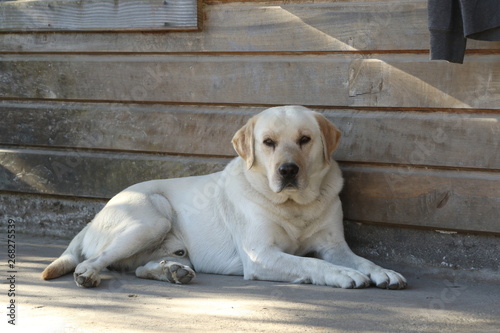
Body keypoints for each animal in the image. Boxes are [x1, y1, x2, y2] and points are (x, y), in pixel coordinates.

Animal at [42, 105, 406, 288]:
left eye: (305, 139)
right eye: (268, 142)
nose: (288, 170)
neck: (294, 207)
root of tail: (91, 221)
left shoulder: (334, 246)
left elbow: (360, 259)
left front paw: (382, 271)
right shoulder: (261, 255)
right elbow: (310, 263)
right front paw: (342, 275)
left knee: (138, 268)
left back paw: (171, 271)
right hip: (152, 218)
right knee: (92, 260)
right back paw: (89, 275)